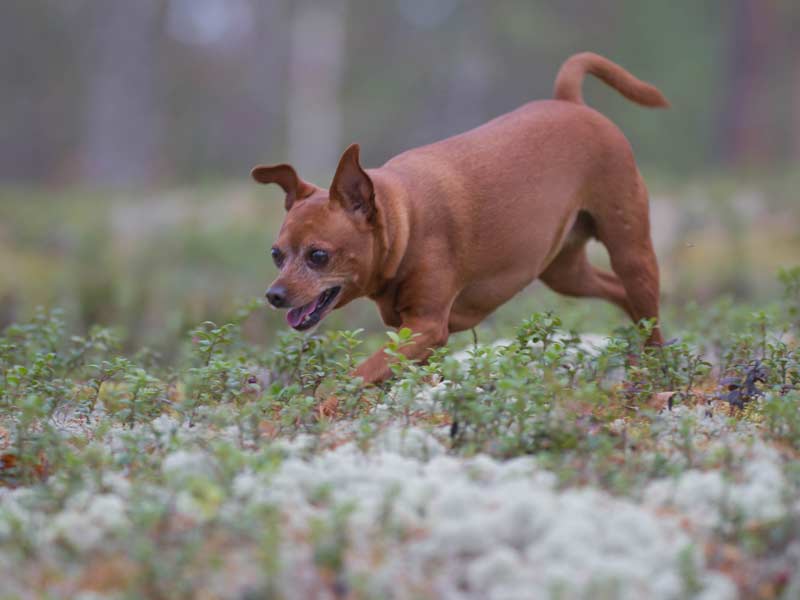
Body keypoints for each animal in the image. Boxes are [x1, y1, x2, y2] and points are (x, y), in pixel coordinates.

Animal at [253, 52, 664, 384]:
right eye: (275, 255)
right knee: (618, 292)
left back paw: (656, 371)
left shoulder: (427, 327)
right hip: (565, 273)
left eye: (318, 256)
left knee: (646, 308)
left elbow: (356, 375)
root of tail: (571, 102)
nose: (273, 295)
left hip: (631, 252)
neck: (404, 218)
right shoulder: (414, 337)